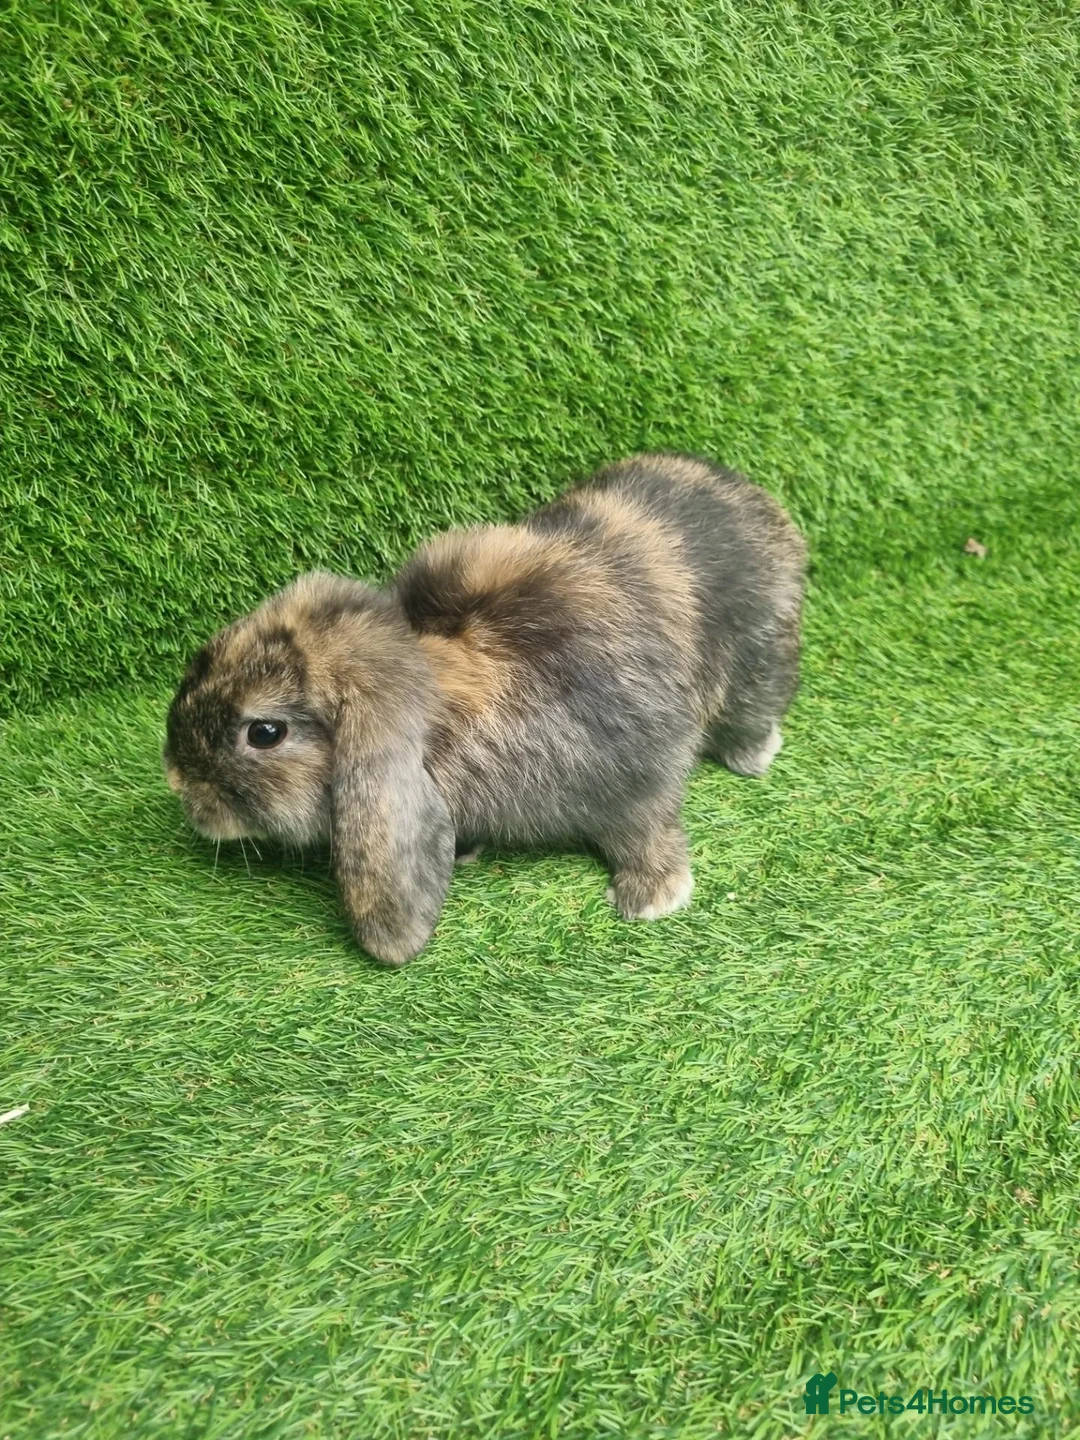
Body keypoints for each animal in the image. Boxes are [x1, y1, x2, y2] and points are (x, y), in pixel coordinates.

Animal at [163, 453, 807, 966]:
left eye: (264, 732)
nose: (177, 782)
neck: (447, 712)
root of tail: (759, 502)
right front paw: (465, 850)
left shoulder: (636, 773)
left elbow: (647, 831)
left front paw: (651, 900)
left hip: (759, 664)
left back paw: (755, 756)